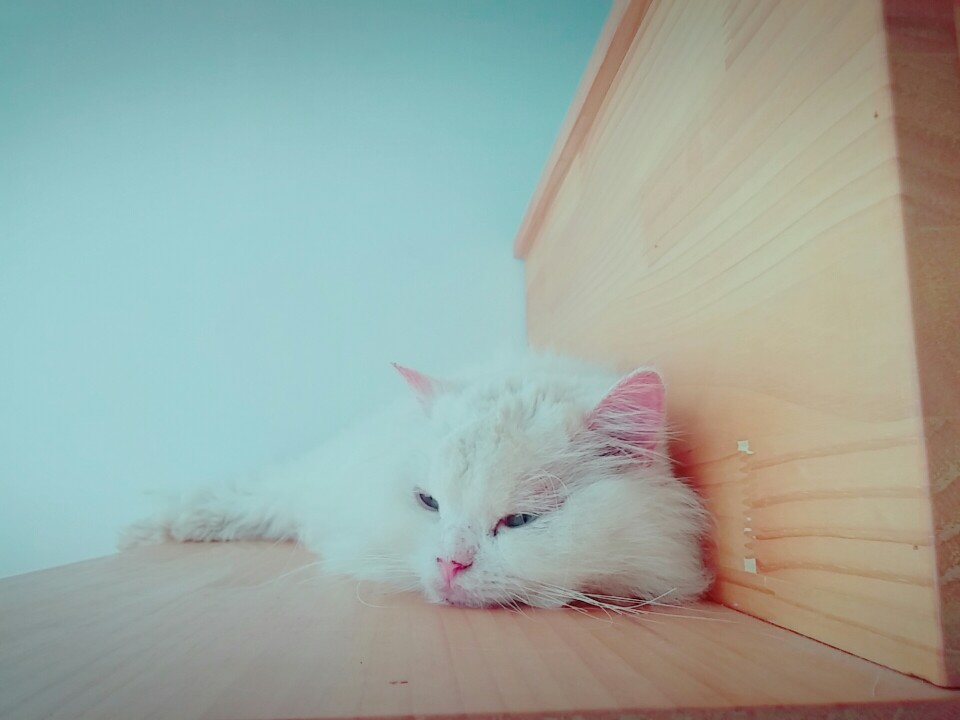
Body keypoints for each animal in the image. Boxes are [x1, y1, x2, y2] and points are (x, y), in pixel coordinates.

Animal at [121, 352, 711, 609]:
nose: (449, 564)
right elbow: (246, 497)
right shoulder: (314, 486)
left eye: (521, 519)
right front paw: (152, 524)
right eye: (428, 502)